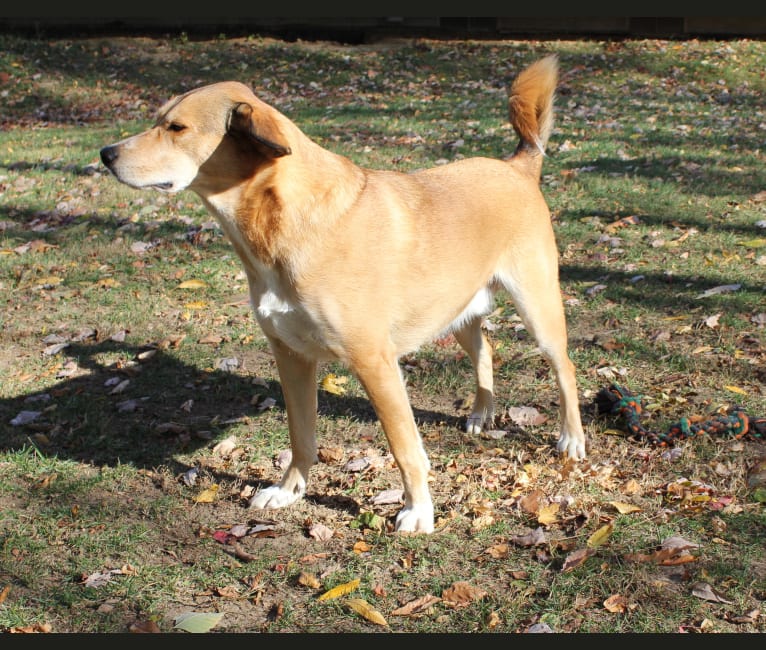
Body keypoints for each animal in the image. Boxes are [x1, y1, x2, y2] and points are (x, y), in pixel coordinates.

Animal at [99, 54, 584, 532]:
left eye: (176, 128)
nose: (105, 153)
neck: (283, 223)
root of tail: (516, 166)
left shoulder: (375, 363)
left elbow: (405, 448)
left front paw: (418, 510)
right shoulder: (291, 357)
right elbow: (302, 436)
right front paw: (289, 491)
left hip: (538, 310)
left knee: (565, 369)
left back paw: (572, 438)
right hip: (456, 311)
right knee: (484, 351)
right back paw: (483, 411)